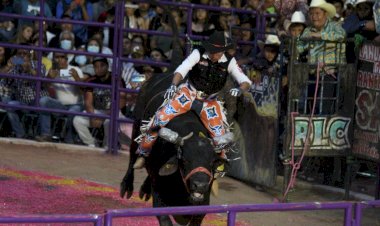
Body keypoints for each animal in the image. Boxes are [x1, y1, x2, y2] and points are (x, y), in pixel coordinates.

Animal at [119, 73, 226, 225]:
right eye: (185, 160)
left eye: (211, 163)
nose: (200, 185)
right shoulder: (159, 195)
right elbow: (164, 218)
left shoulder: (203, 201)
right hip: (136, 126)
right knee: (133, 156)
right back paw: (127, 186)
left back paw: (145, 189)